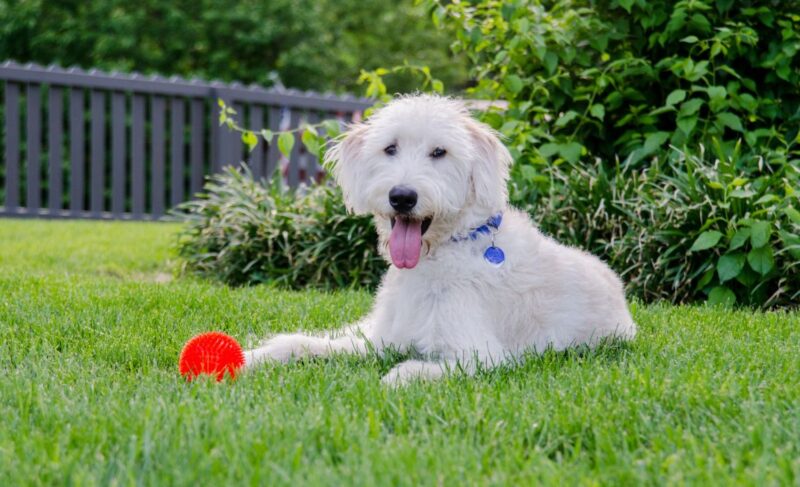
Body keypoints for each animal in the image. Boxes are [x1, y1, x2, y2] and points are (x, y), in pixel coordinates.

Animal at [245, 95, 636, 386]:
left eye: (439, 152)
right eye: (390, 148)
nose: (402, 197)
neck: (443, 252)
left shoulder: (484, 356)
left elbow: (408, 370)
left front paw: (396, 376)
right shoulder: (381, 338)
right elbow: (309, 346)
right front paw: (254, 357)